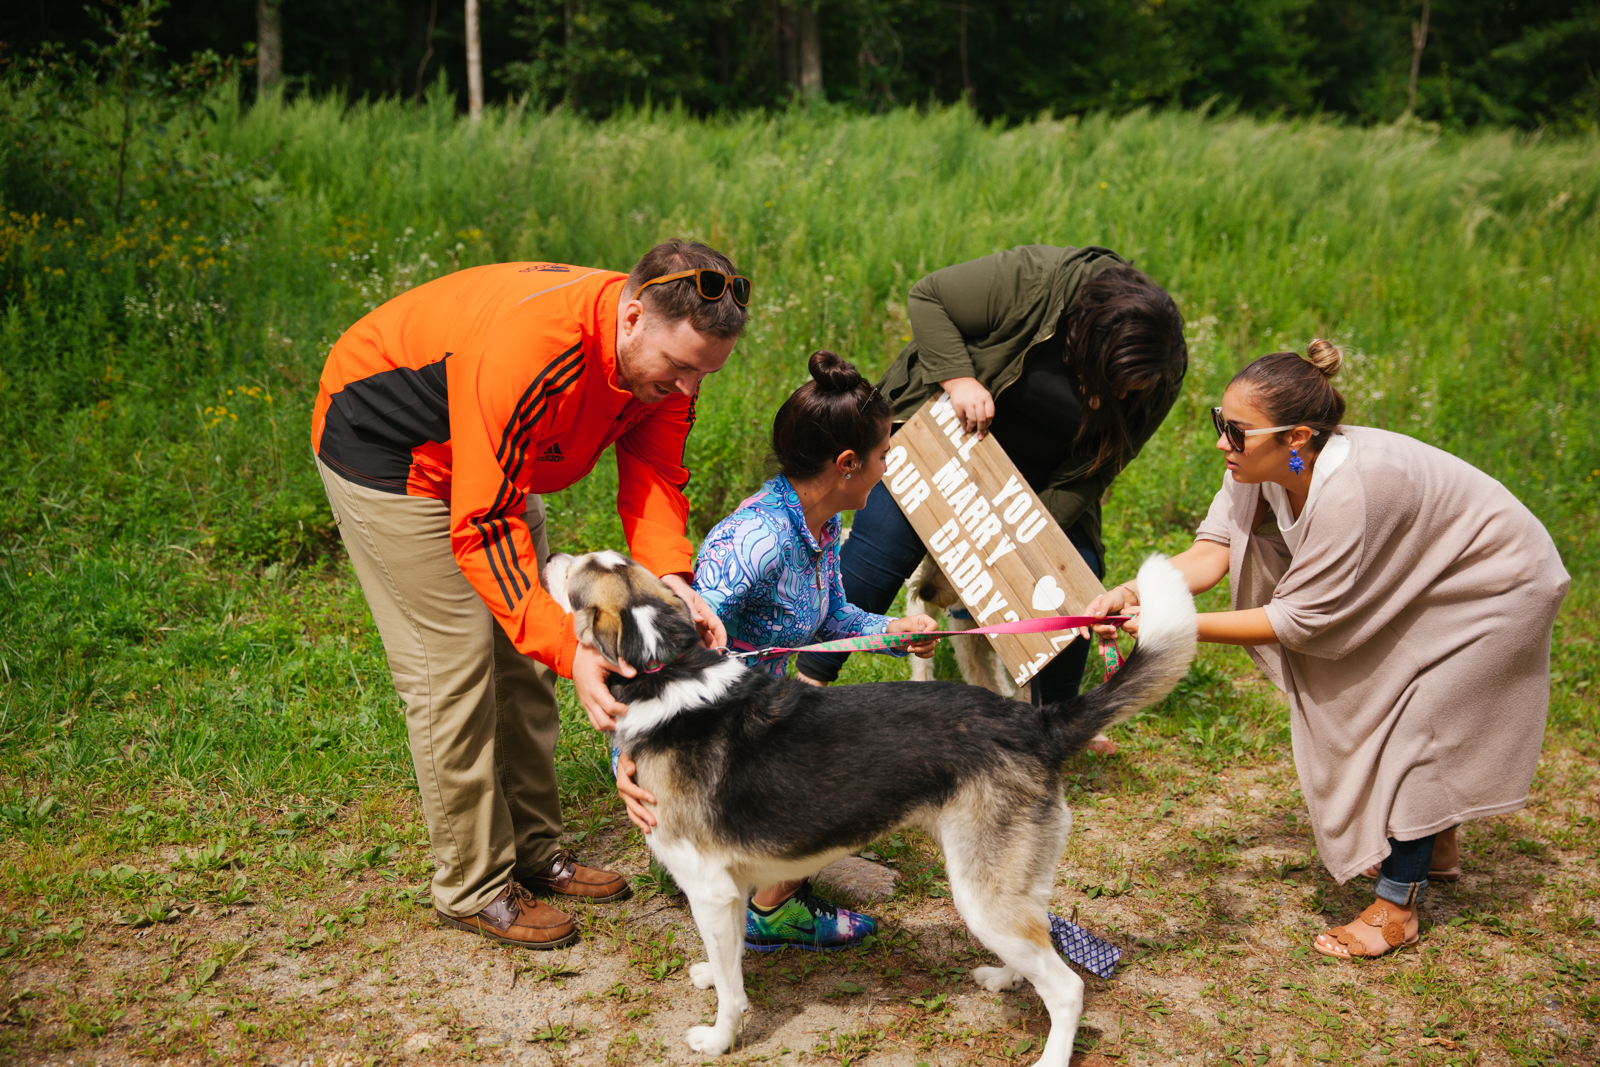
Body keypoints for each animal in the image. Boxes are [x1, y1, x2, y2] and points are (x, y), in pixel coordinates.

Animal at [544, 550, 1196, 1067]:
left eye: (577, 574)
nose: (548, 557)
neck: (666, 669)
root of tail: (1038, 722)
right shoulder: (728, 889)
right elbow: (728, 956)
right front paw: (713, 971)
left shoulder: (707, 887)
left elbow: (733, 994)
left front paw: (720, 1039)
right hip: (1004, 888)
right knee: (1039, 943)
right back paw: (1005, 977)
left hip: (980, 897)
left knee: (1066, 989)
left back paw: (1051, 1056)